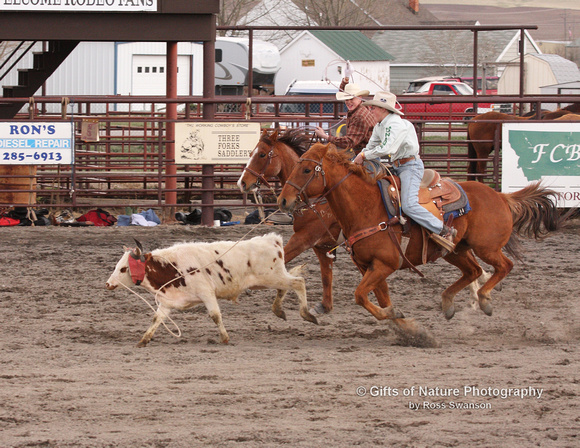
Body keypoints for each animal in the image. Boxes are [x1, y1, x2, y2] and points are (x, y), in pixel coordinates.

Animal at [106, 233, 320, 348]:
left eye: (123, 269)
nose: (108, 284)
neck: (172, 267)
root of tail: (272, 240)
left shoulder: (206, 293)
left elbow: (215, 315)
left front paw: (224, 338)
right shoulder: (167, 301)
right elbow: (157, 319)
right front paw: (144, 340)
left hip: (272, 276)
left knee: (298, 282)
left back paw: (307, 314)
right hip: (271, 278)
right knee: (286, 287)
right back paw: (279, 310)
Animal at [238, 128, 342, 314]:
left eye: (262, 154)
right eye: (251, 154)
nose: (242, 182)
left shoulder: (304, 238)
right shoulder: (321, 245)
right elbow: (326, 275)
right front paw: (325, 306)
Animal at [278, 144, 560, 340]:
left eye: (306, 170)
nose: (282, 200)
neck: (365, 208)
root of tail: (501, 196)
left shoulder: (385, 264)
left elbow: (360, 295)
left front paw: (399, 319)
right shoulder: (369, 266)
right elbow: (380, 298)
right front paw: (411, 330)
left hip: (486, 247)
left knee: (503, 266)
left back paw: (484, 300)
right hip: (455, 251)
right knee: (474, 271)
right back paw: (447, 303)